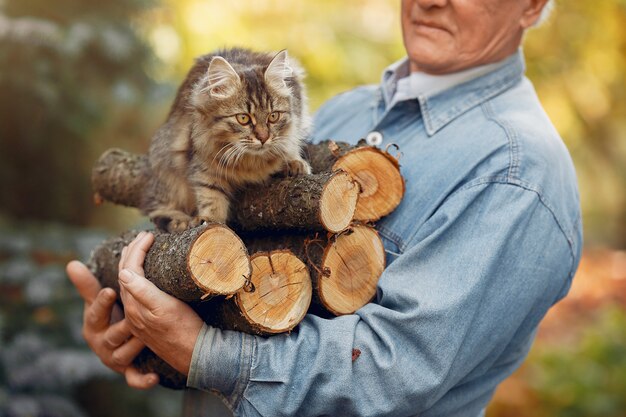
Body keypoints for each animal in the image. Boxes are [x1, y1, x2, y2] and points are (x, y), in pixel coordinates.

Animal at [140, 48, 310, 234]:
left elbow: (290, 146)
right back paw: (178, 221)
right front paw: (209, 221)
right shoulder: (204, 166)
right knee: (160, 207)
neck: (250, 162)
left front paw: (294, 163)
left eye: (273, 117)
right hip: (165, 161)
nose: (263, 138)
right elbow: (211, 197)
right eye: (243, 118)